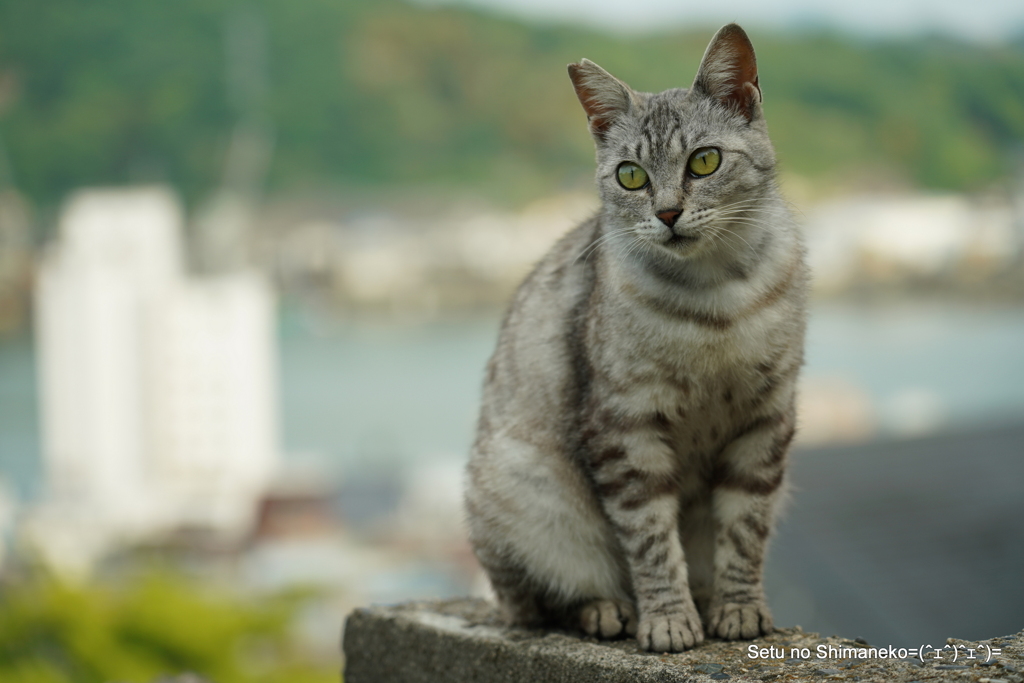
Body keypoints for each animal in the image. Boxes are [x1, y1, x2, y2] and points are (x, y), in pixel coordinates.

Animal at [464, 22, 806, 651]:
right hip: (522, 490)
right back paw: (609, 610)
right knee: (538, 602)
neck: (714, 295)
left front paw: (738, 608)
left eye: (704, 161)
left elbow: (745, 531)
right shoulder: (625, 429)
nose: (668, 213)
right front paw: (668, 620)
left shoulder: (764, 422)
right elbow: (650, 541)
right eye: (630, 175)